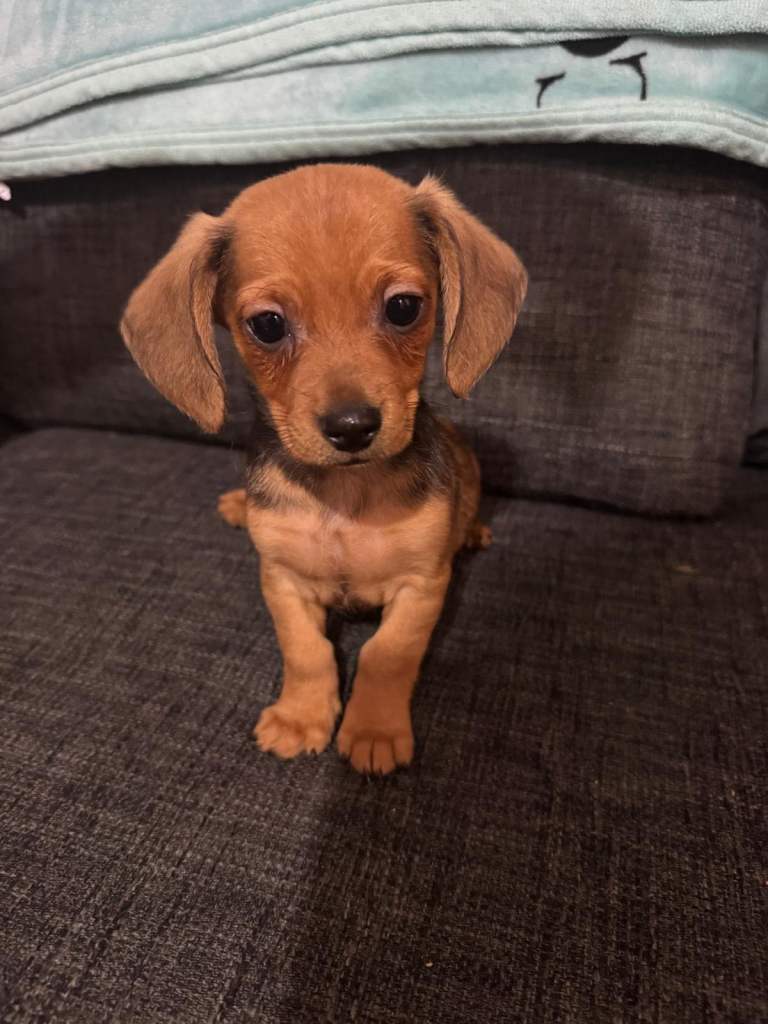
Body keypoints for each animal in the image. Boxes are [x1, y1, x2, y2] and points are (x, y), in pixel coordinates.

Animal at [120, 164, 527, 774]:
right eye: (267, 325)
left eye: (404, 307)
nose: (353, 427)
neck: (344, 496)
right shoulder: (283, 582)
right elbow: (307, 653)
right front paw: (301, 717)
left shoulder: (421, 586)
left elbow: (386, 655)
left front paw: (374, 731)